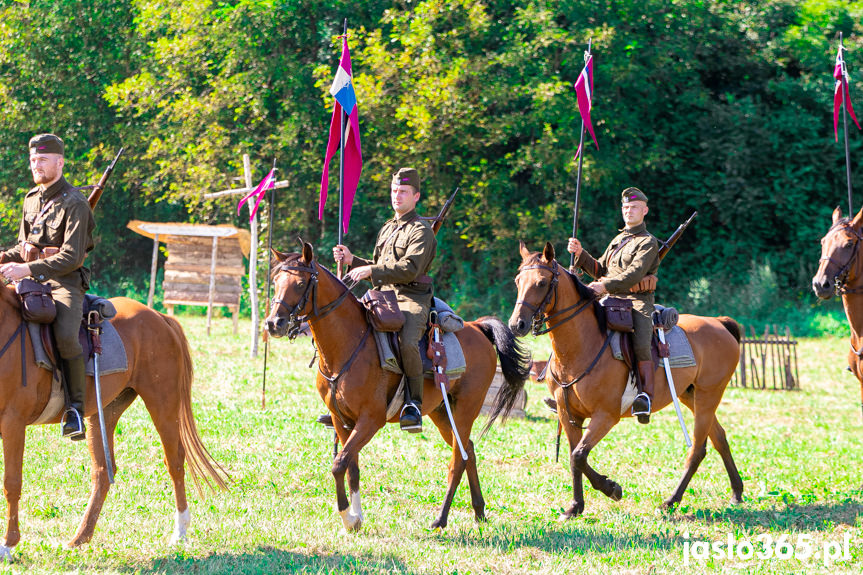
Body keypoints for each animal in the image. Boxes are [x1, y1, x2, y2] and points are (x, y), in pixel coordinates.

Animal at [0, 286, 228, 560]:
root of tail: (159, 316)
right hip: (103, 413)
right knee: (102, 472)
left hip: (163, 403)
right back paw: (80, 537)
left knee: (174, 461)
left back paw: (180, 532)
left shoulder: (13, 422)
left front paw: (8, 545)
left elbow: (11, 482)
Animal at [264, 243, 532, 532]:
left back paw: (441, 518)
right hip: (441, 412)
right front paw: (357, 517)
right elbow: (351, 466)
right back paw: (479, 511)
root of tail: (478, 328)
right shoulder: (341, 420)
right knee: (467, 449)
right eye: (276, 281)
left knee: (458, 459)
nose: (274, 323)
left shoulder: (370, 420)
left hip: (464, 410)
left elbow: (339, 464)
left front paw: (348, 516)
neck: (347, 344)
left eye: (300, 283)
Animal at [510, 241, 744, 520]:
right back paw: (736, 491)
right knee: (719, 438)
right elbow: (574, 457)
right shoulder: (569, 416)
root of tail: (719, 323)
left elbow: (579, 456)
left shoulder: (605, 416)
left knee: (698, 448)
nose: (517, 324)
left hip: (709, 395)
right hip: (691, 396)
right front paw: (576, 506)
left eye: (542, 282)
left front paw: (611, 488)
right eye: (518, 281)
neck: (582, 345)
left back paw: (671, 501)